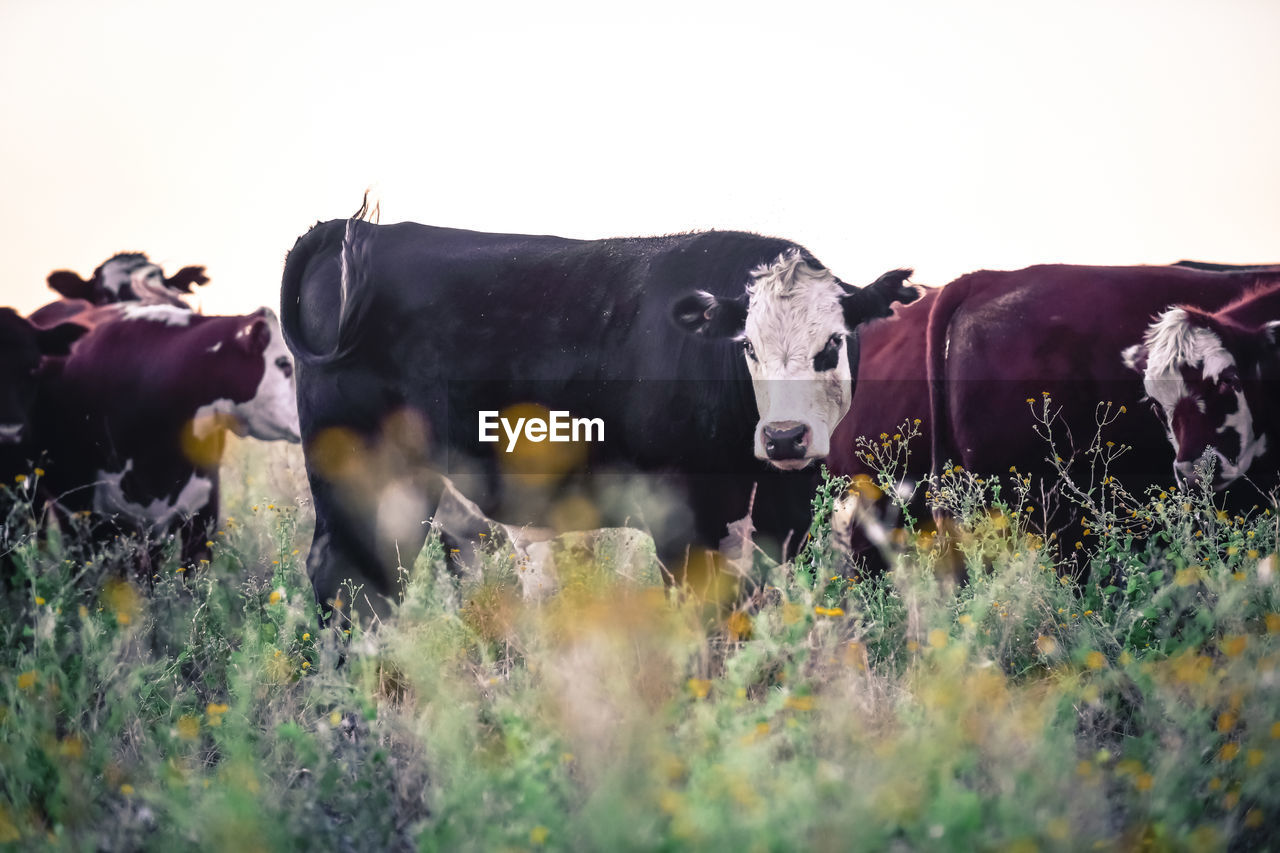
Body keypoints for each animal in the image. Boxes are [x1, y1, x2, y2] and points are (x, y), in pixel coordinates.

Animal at [282, 212, 921, 617]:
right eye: (748, 347)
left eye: (832, 343)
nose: (785, 437)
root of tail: (356, 231)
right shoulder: (680, 516)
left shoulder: (784, 513)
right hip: (362, 471)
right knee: (344, 576)